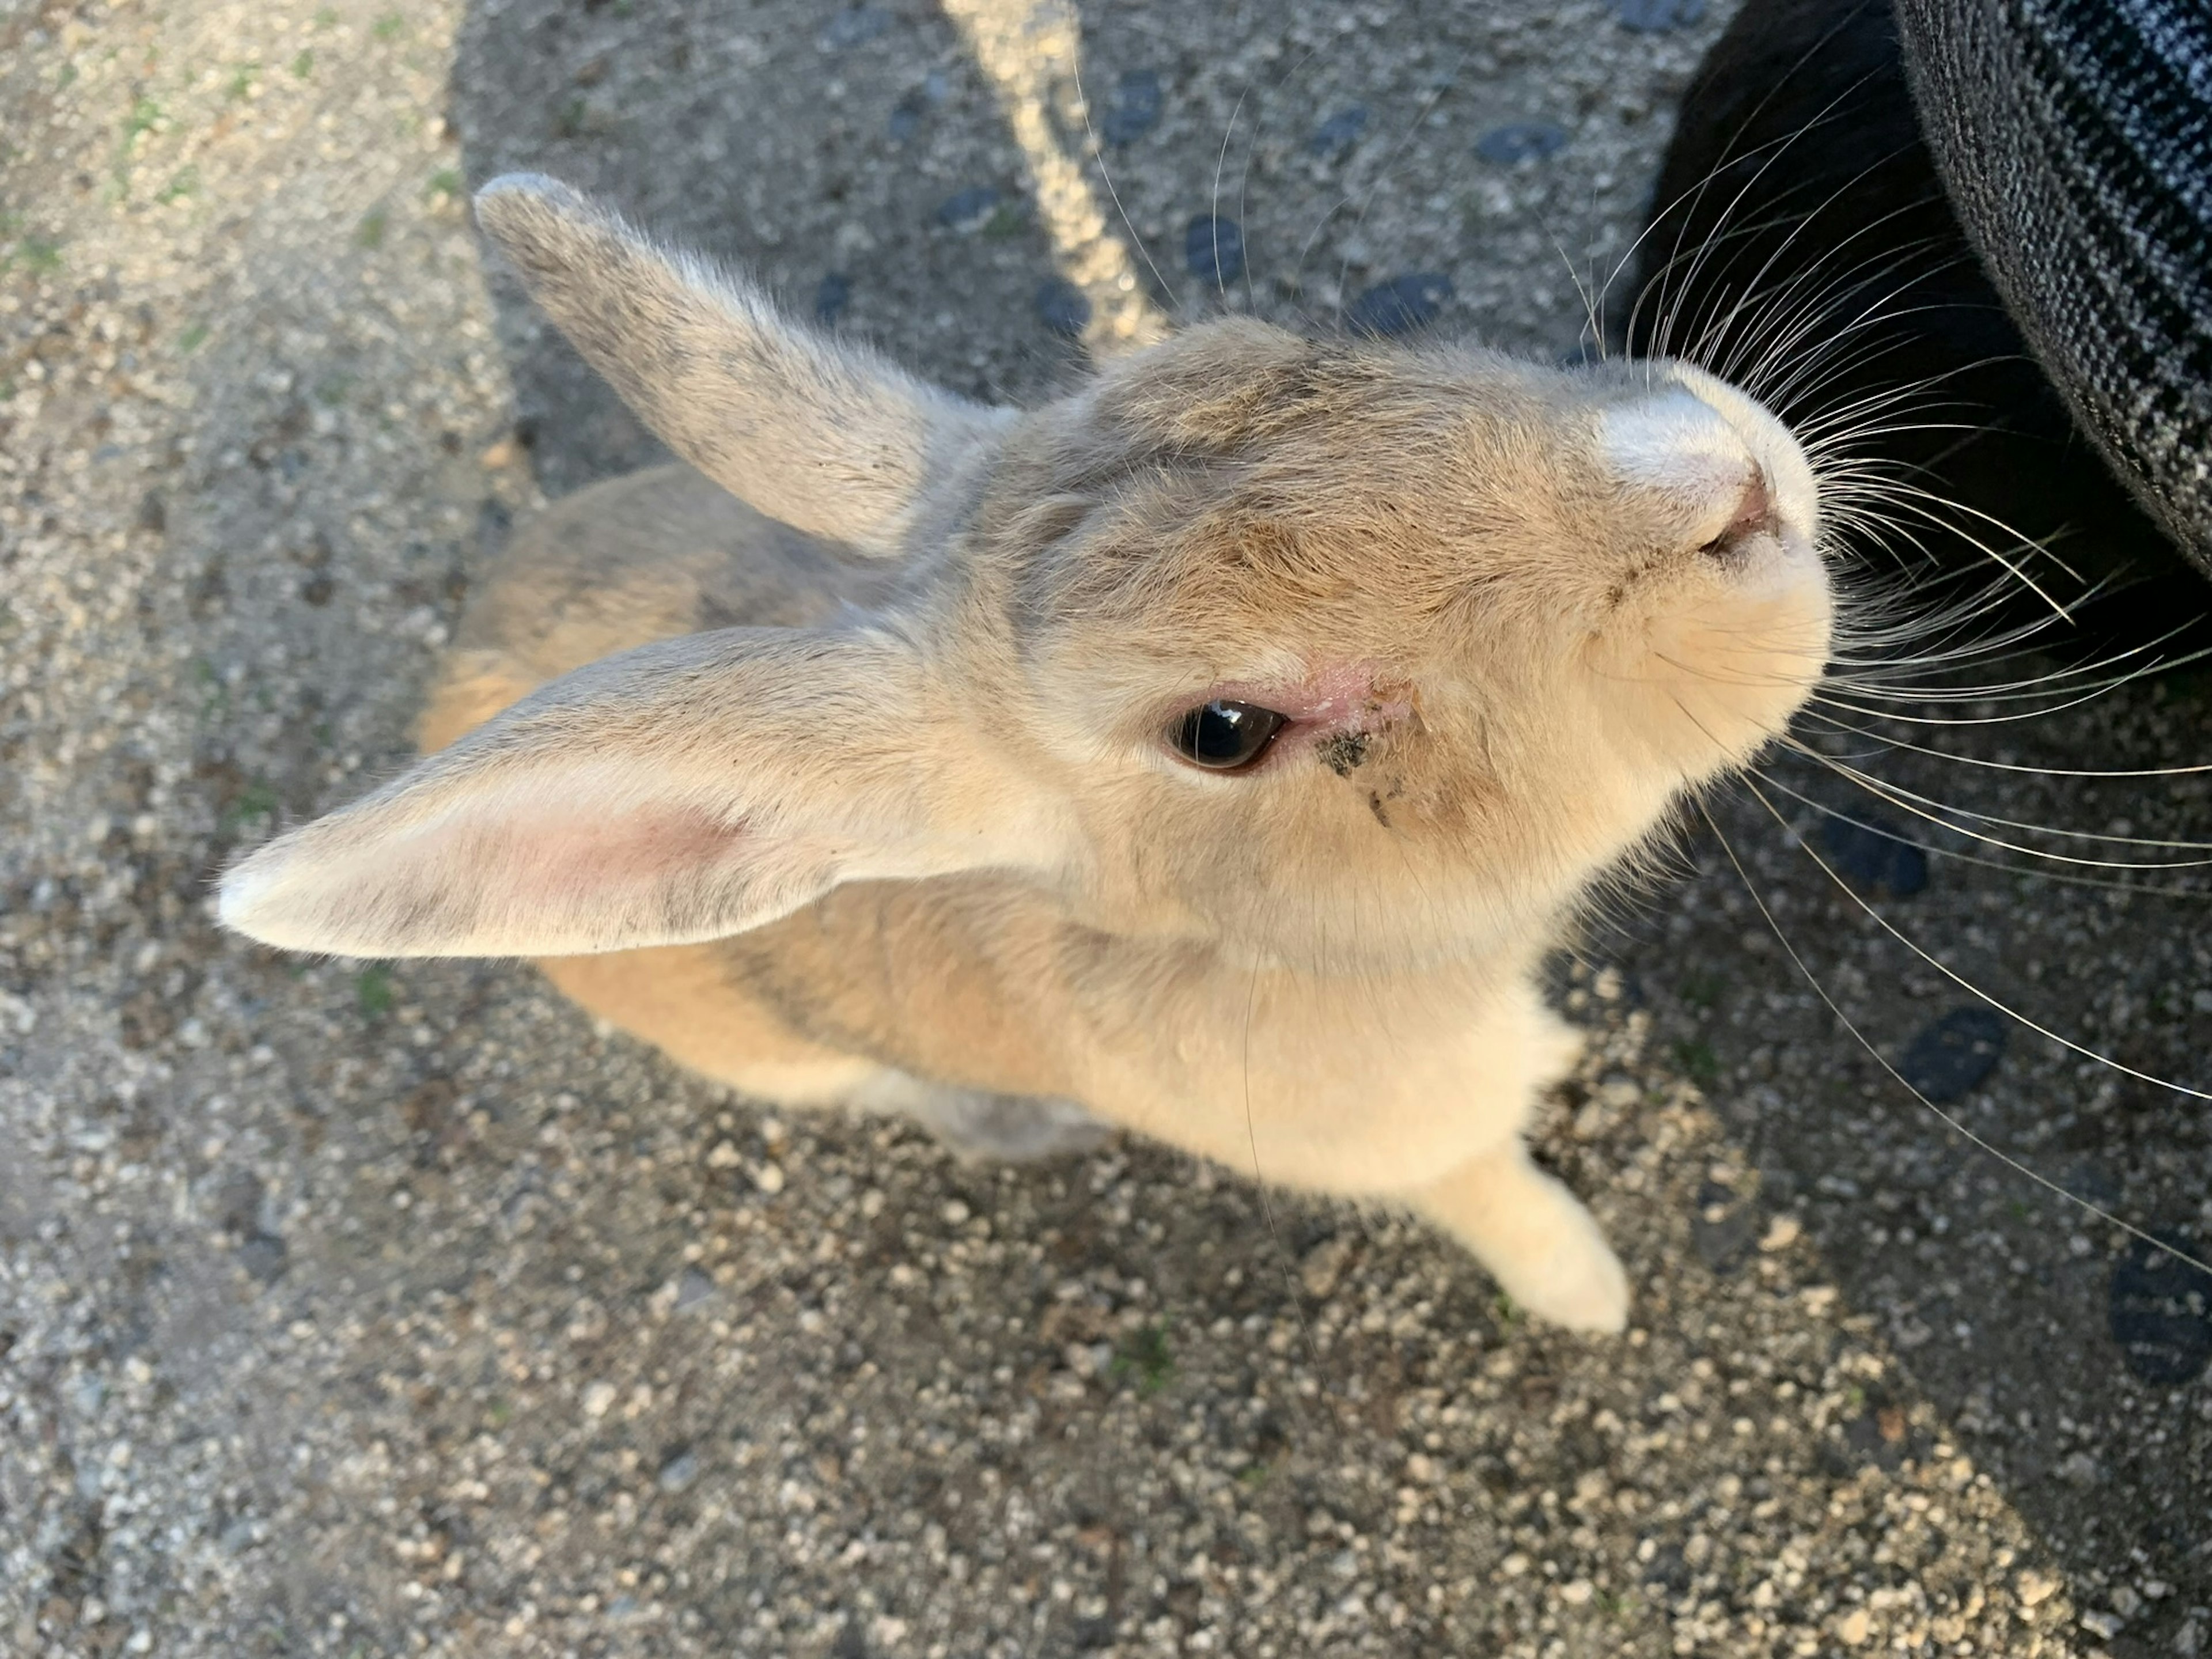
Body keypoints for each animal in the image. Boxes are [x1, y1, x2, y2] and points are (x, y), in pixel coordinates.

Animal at [220, 176, 1831, 1336]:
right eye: (1223, 732)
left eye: (1283, 351)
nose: (1723, 480)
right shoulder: (1424, 1144)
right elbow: (1501, 1196)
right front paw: (1592, 1297)